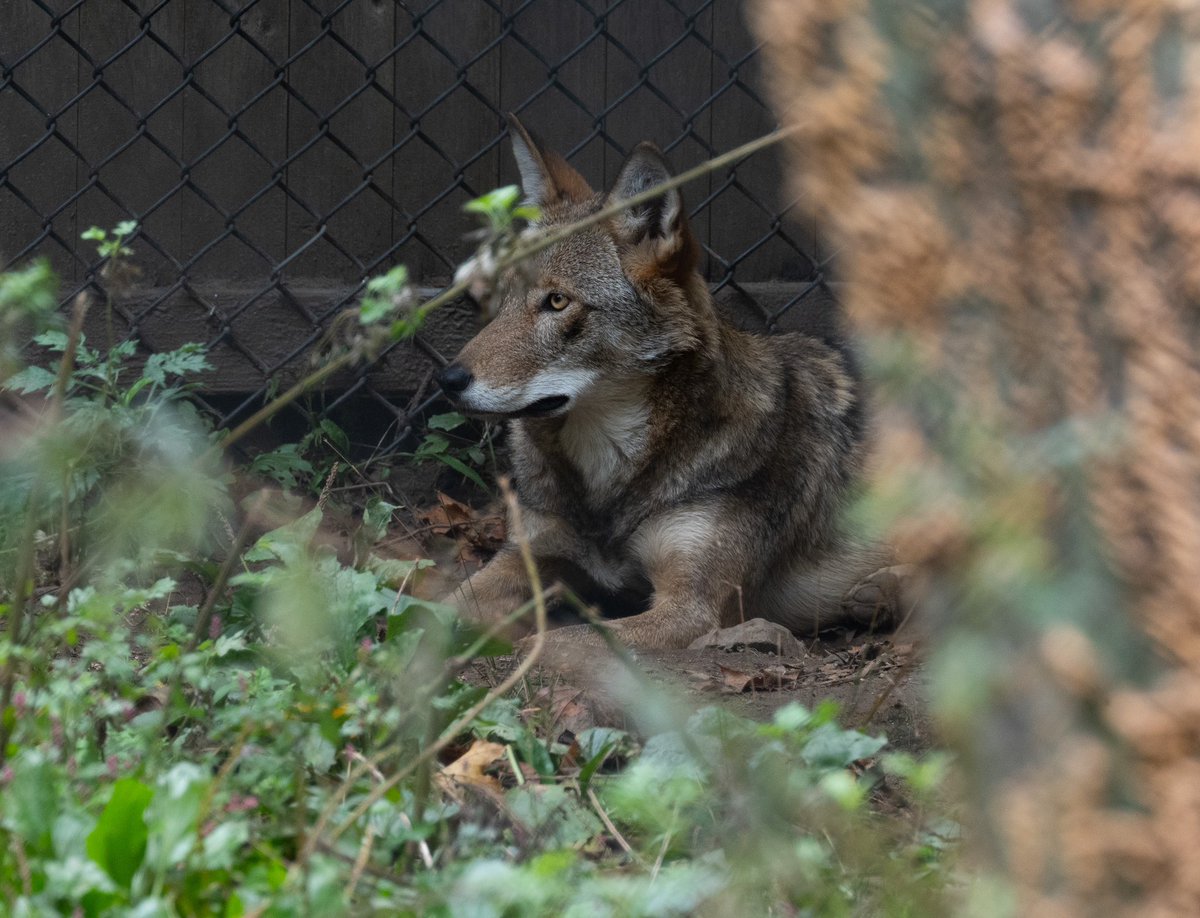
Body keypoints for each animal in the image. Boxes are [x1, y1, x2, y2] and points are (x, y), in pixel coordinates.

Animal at [438, 115, 898, 651]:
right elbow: (432, 609)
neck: (609, 483)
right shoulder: (527, 556)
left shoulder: (691, 608)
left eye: (557, 302)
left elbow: (559, 643)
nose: (448, 379)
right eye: (500, 299)